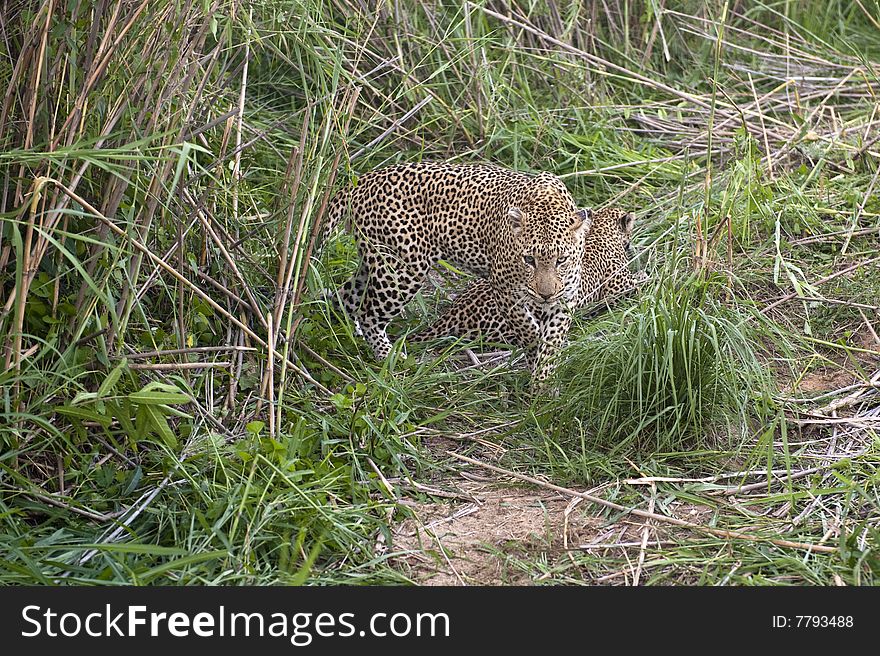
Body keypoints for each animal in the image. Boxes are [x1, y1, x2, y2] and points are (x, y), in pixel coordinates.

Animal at [324, 161, 592, 382]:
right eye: (529, 260)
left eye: (561, 260)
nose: (545, 295)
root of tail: (364, 180)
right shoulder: (505, 290)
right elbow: (526, 328)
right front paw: (534, 350)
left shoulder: (565, 297)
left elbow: (553, 340)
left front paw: (544, 381)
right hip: (402, 269)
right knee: (368, 313)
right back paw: (389, 359)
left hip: (373, 263)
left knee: (344, 299)